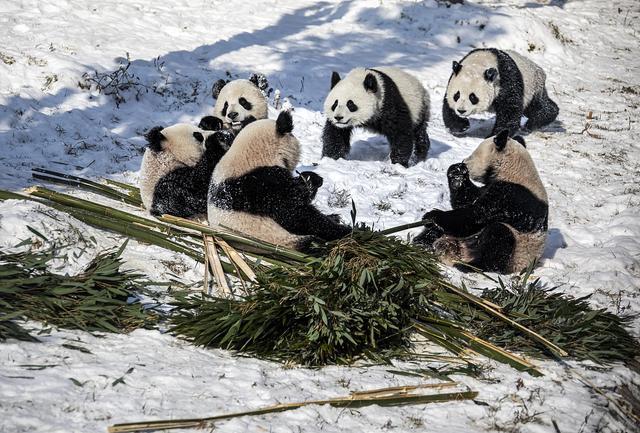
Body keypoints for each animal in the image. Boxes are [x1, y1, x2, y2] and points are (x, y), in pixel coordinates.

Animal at [412, 130, 548, 276]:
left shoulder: (512, 196)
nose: (463, 162)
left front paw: (433, 216)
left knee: (499, 238)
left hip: (518, 252)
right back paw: (421, 242)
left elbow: (475, 216)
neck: (513, 169)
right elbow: (467, 201)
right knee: (439, 231)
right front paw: (457, 173)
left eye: (472, 156)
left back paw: (471, 266)